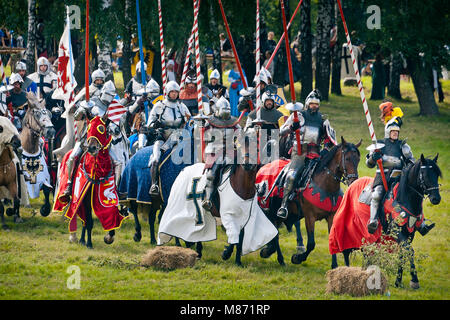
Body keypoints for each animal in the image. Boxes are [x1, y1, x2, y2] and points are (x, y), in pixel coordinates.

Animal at [256, 138, 362, 268]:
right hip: (269, 210)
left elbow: (332, 240)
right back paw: (274, 255)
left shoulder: (331, 217)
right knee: (274, 234)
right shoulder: (309, 217)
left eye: (358, 159)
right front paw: (297, 258)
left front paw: (334, 266)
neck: (325, 185)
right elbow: (311, 244)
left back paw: (275, 256)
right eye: (347, 159)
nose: (353, 180)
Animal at [328, 154, 442, 288]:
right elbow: (409, 251)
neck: (404, 198)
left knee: (366, 251)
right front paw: (414, 280)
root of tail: (353, 183)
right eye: (424, 174)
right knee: (346, 251)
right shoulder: (398, 232)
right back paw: (347, 273)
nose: (436, 199)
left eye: (437, 174)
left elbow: (402, 253)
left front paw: (398, 281)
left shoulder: (409, 233)